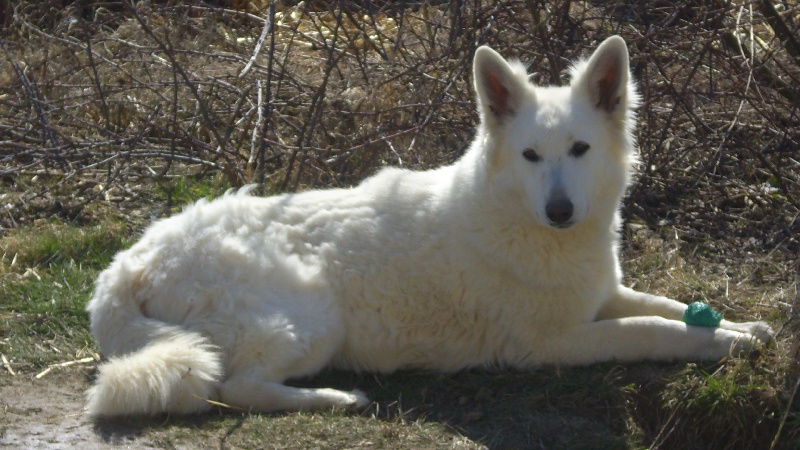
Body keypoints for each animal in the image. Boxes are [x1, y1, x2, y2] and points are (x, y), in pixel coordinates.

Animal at [84, 37, 772, 416]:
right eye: (530, 156)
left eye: (579, 150)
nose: (559, 212)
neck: (521, 221)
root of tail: (129, 262)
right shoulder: (551, 343)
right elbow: (654, 329)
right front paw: (722, 344)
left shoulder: (602, 295)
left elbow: (667, 305)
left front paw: (742, 326)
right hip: (314, 317)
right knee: (237, 388)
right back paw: (336, 401)